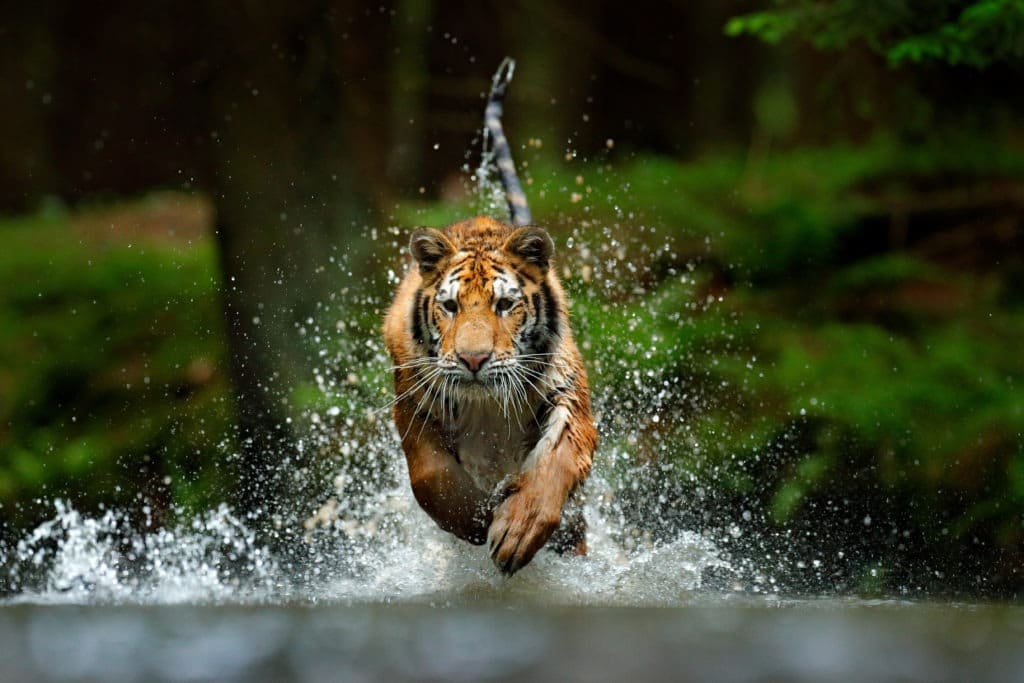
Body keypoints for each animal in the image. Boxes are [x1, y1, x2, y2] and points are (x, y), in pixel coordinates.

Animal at [385, 58, 598, 573]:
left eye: (505, 304)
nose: (474, 360)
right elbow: (431, 478)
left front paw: (518, 529)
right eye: (450, 307)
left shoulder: (568, 399)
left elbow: (556, 463)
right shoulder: (413, 407)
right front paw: (476, 521)